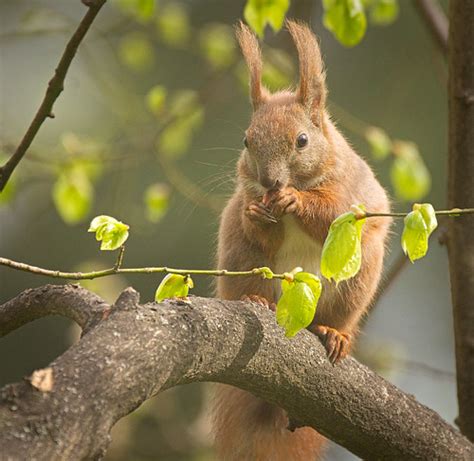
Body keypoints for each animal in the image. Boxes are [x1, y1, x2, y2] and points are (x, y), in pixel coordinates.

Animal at [213, 21, 390, 460]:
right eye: (246, 141)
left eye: (303, 141)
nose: (270, 182)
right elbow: (256, 224)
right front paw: (257, 213)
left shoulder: (351, 194)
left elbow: (331, 217)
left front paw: (296, 201)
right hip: (243, 262)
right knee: (252, 281)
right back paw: (255, 300)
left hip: (354, 286)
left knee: (336, 319)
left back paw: (333, 334)